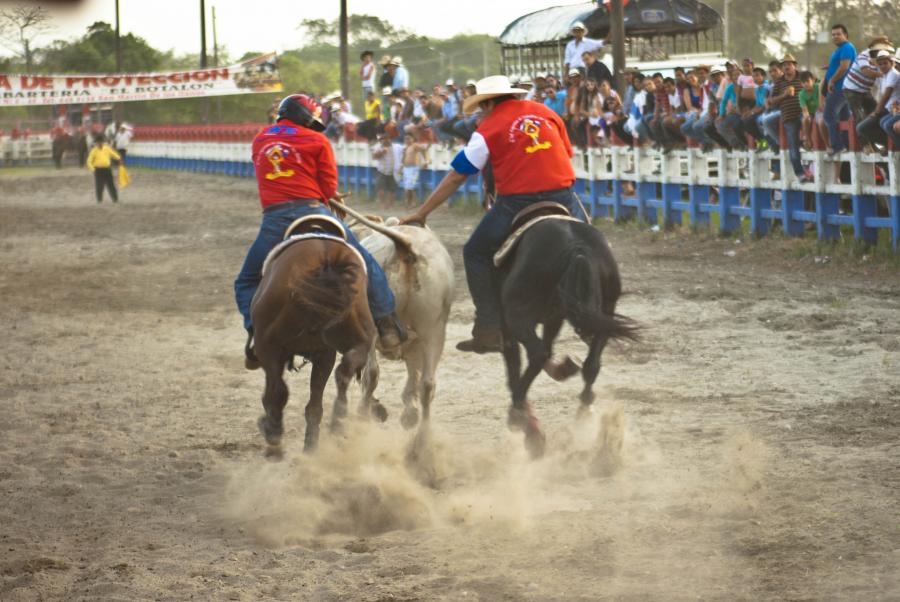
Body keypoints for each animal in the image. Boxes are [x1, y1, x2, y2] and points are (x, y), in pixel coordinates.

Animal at [251, 232, 384, 452]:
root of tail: (326, 259)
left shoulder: (271, 349)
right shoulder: (324, 353)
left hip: (268, 344)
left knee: (278, 391)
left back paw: (274, 431)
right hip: (359, 338)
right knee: (345, 371)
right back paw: (337, 421)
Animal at [358, 219, 454, 426]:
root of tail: (405, 246)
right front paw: (410, 413)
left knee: (372, 373)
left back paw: (363, 412)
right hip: (434, 329)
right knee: (427, 383)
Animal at [496, 216, 636, 454]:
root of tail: (576, 246)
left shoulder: (510, 322)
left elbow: (513, 358)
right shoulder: (554, 318)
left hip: (516, 314)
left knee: (538, 354)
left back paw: (518, 411)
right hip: (606, 311)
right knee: (591, 364)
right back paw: (584, 411)